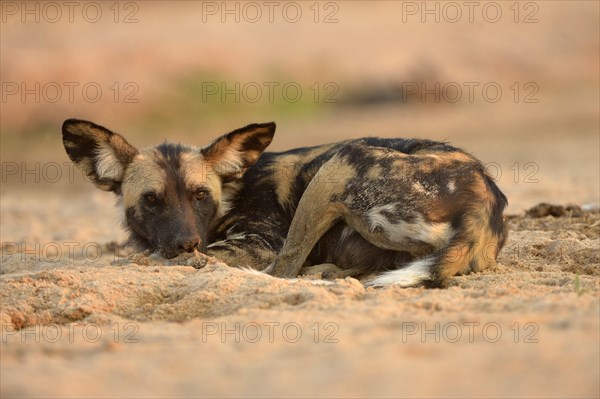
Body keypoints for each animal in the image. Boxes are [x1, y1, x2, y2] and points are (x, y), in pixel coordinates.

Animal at [64, 119, 506, 288]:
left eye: (200, 195)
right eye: (152, 200)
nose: (186, 242)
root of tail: (482, 194)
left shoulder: (257, 244)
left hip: (337, 167)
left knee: (283, 271)